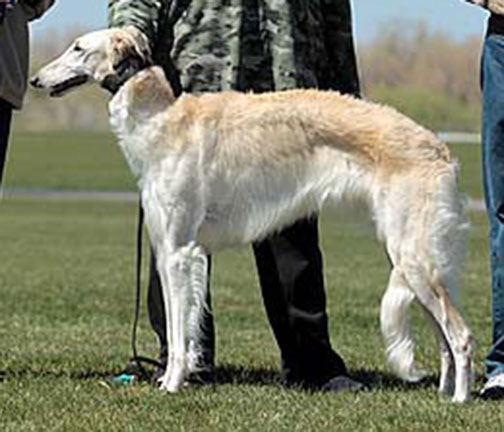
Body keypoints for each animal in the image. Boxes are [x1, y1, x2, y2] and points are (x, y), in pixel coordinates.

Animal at [31, 27, 472, 402]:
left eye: (78, 47)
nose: (35, 80)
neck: (162, 119)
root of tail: (440, 149)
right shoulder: (167, 249)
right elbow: (179, 326)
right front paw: (173, 378)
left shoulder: (178, 252)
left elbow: (179, 335)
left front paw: (171, 385)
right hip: (415, 259)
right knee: (444, 339)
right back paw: (444, 393)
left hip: (412, 257)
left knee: (461, 336)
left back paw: (461, 399)